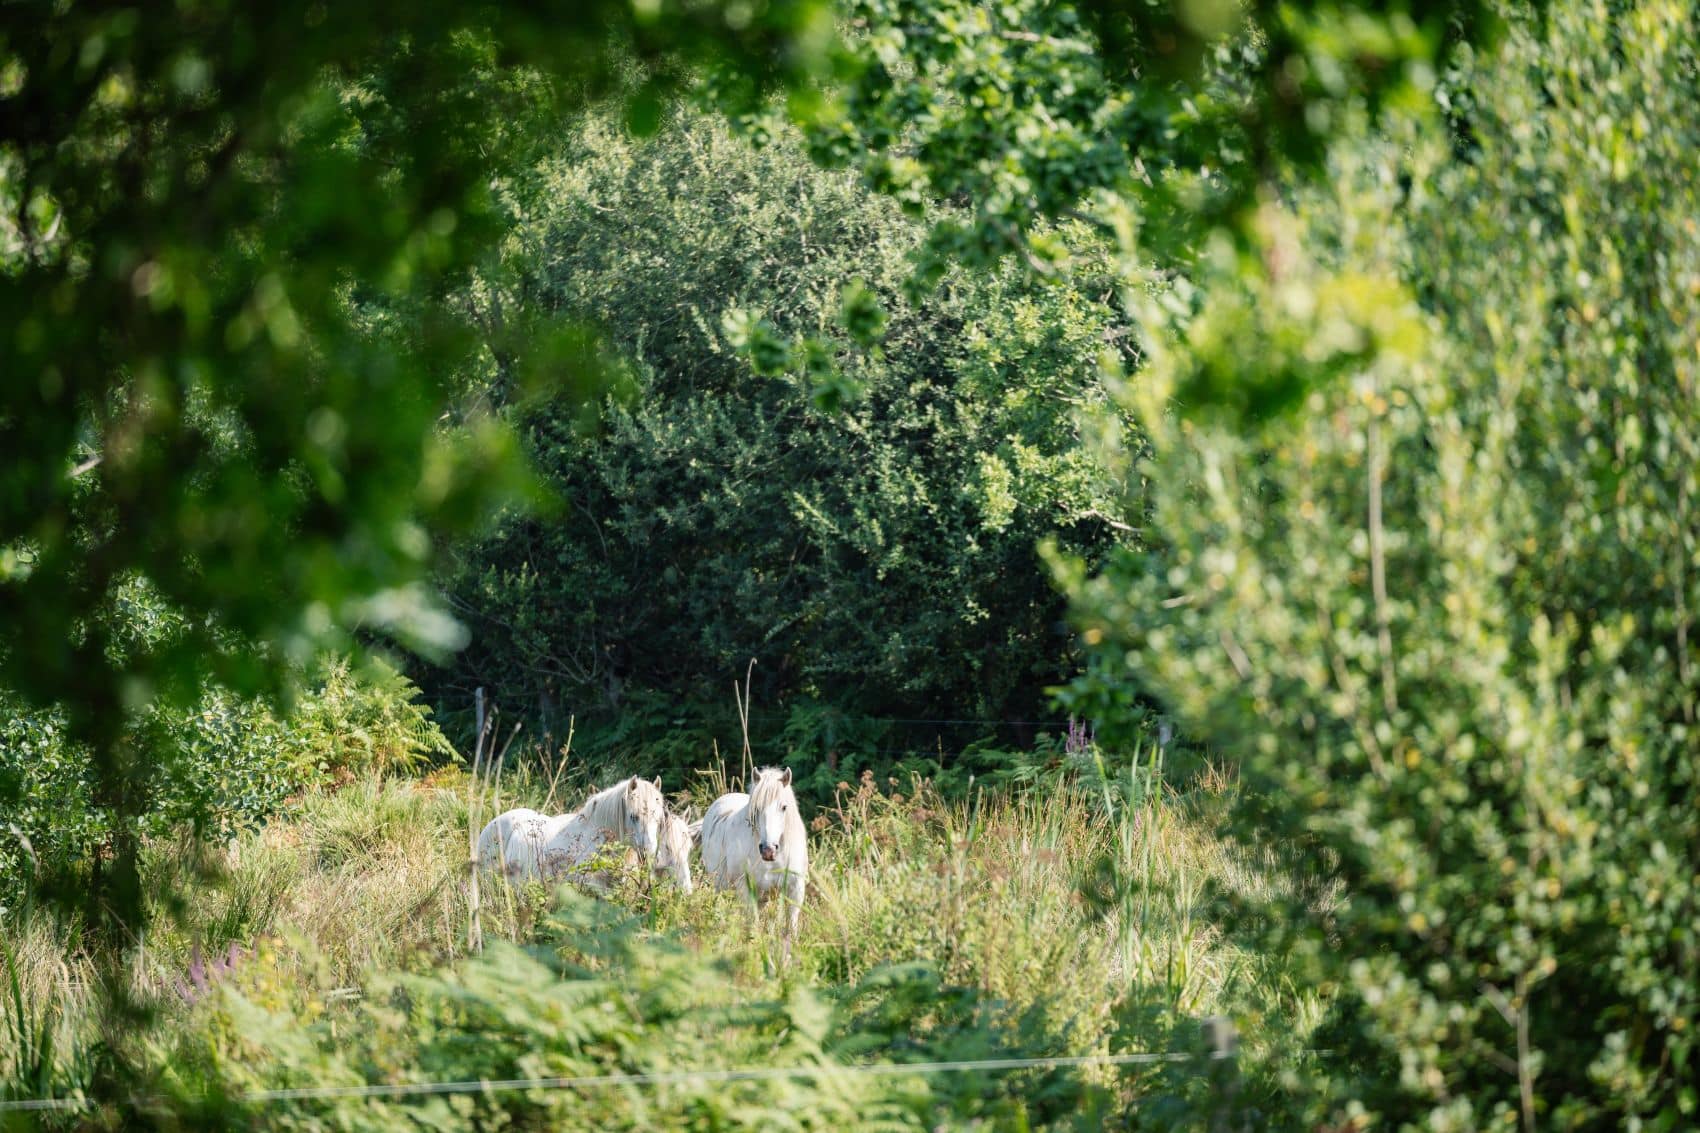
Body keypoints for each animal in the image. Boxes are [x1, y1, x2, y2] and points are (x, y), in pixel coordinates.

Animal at [696, 766, 808, 962]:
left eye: (784, 807)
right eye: (756, 809)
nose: (768, 850)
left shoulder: (796, 887)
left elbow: (791, 924)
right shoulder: (745, 886)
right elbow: (752, 921)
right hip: (720, 885)